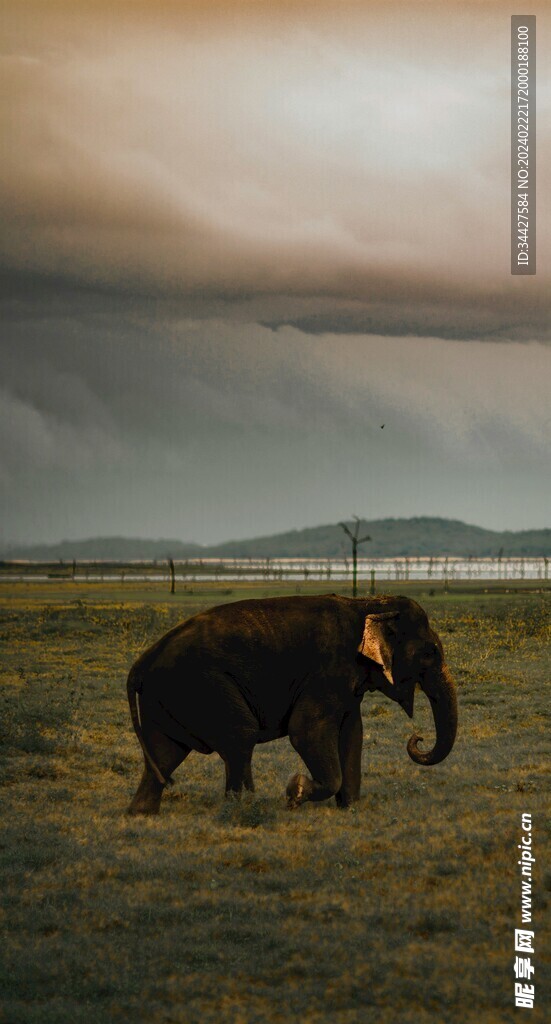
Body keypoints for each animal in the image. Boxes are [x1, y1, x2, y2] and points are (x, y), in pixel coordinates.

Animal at [126, 593, 457, 815]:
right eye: (429, 653)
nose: (417, 737)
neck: (366, 603)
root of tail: (141, 663)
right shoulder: (327, 672)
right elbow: (306, 732)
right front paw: (294, 792)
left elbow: (352, 733)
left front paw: (350, 808)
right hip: (204, 686)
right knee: (240, 737)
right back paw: (246, 807)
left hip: (169, 697)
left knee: (165, 751)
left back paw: (142, 813)